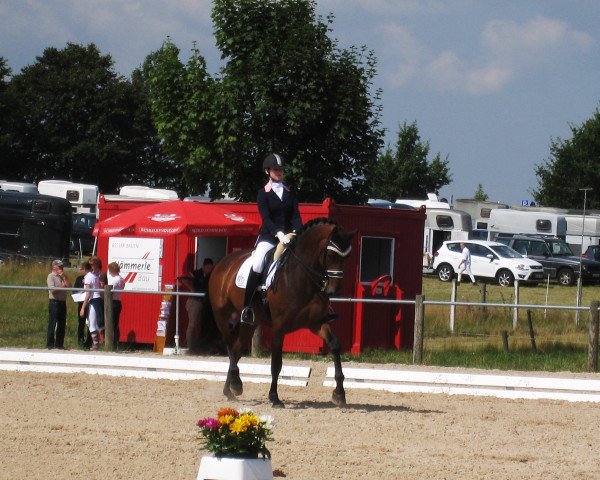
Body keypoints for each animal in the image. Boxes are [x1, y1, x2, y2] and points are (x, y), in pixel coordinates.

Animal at [209, 219, 354, 406]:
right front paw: (274, 397)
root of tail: (223, 262)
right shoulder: (279, 327)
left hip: (250, 322)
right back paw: (235, 384)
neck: (301, 277)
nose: (334, 290)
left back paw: (231, 389)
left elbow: (335, 346)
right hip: (223, 315)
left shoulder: (317, 322)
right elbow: (276, 363)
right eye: (330, 255)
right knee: (229, 346)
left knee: (237, 349)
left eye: (347, 257)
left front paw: (339, 393)